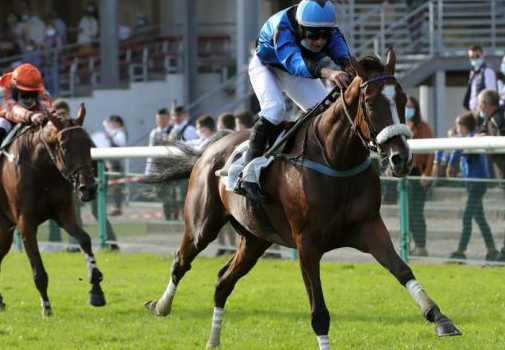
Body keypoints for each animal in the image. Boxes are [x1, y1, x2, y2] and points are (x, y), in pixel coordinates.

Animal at [0, 104, 105, 318]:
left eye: (88, 144)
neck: (41, 169)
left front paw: (96, 289)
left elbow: (84, 239)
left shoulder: (63, 213)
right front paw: (46, 307)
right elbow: (39, 272)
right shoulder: (25, 223)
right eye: (64, 147)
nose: (88, 189)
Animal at [144, 48, 458, 348]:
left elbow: (402, 270)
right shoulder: (307, 243)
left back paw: (213, 340)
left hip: (255, 239)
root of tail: (208, 148)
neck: (336, 159)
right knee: (181, 261)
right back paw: (161, 306)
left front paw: (440, 318)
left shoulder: (369, 228)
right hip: (202, 224)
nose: (401, 158)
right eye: (370, 104)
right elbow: (319, 313)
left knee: (223, 281)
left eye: (403, 99)